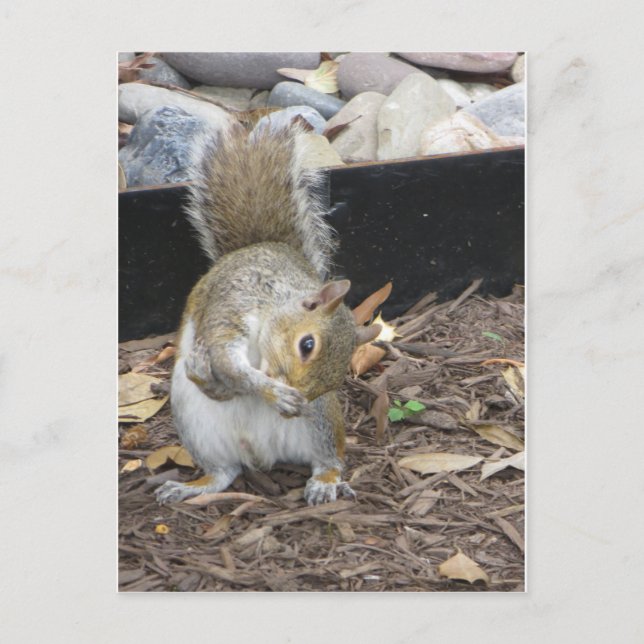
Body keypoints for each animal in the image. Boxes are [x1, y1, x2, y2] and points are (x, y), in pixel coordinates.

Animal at [155, 124, 381, 506]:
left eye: (336, 381)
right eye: (307, 345)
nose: (299, 398)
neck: (276, 299)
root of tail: (262, 454)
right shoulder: (231, 308)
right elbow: (229, 365)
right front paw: (272, 392)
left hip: (321, 421)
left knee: (327, 460)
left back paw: (326, 481)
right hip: (195, 424)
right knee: (223, 473)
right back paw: (191, 486)